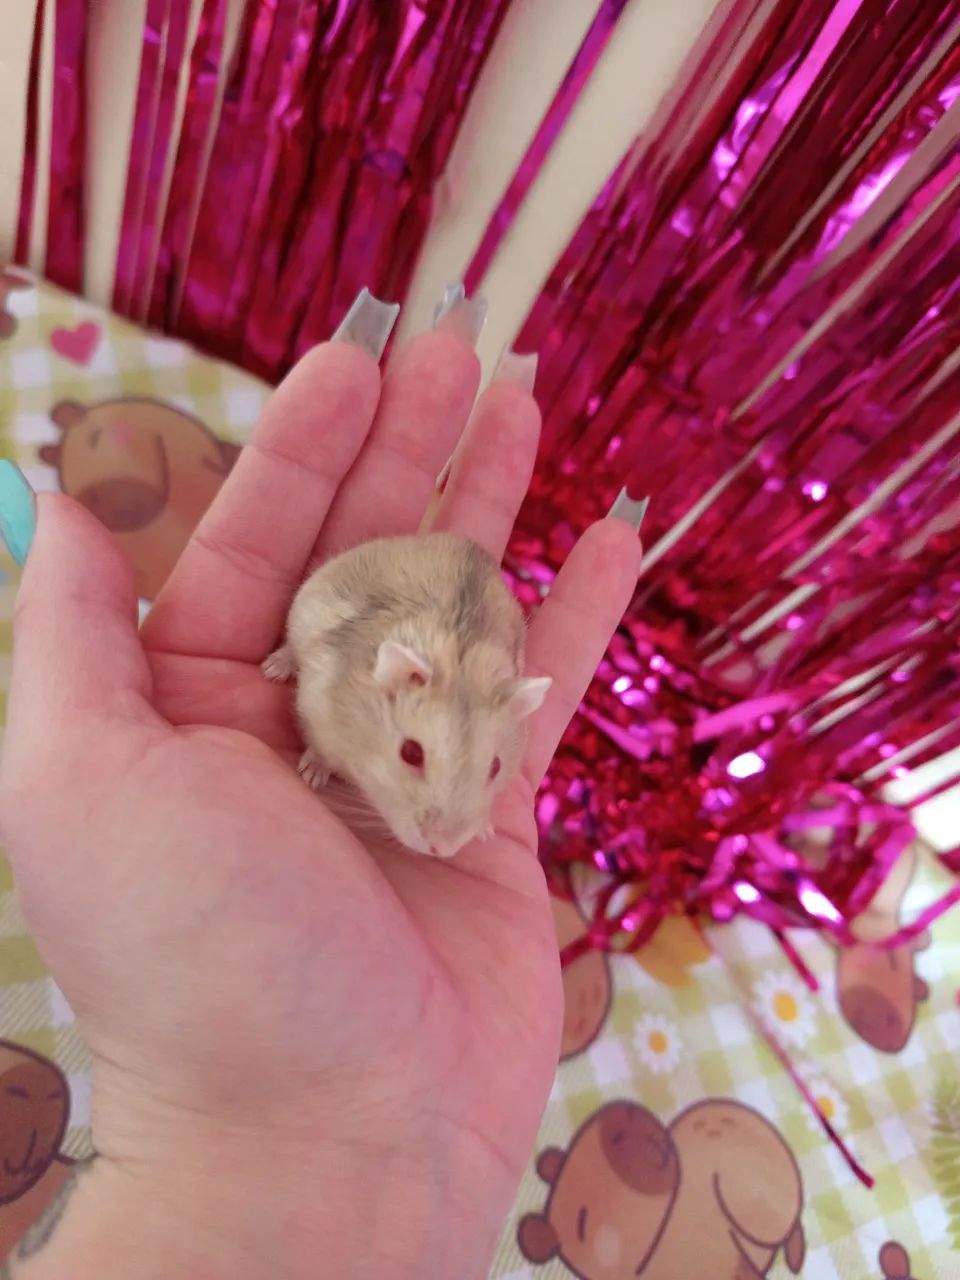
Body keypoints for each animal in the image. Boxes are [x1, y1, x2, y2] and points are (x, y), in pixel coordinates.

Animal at [263, 532, 552, 858]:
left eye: (496, 767)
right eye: (410, 753)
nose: (442, 849)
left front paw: (486, 832)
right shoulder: (314, 704)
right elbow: (319, 748)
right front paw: (311, 776)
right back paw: (274, 668)